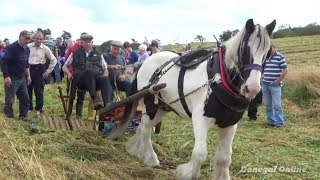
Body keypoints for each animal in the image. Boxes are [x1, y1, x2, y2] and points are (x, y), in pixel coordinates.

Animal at [110, 19, 276, 179]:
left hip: (162, 108)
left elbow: (225, 157)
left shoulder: (230, 125)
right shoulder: (200, 119)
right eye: (245, 50)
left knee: (142, 128)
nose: (252, 88)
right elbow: (200, 154)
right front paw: (186, 173)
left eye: (268, 53)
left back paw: (136, 150)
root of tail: (144, 64)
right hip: (150, 104)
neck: (220, 79)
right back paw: (151, 158)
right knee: (145, 129)